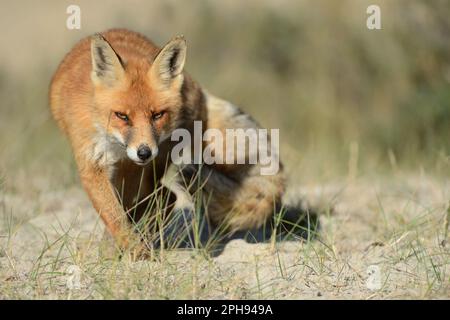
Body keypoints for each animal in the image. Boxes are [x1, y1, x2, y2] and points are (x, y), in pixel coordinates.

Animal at [50, 28, 288, 256]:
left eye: (157, 115)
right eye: (122, 116)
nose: (144, 152)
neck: (115, 145)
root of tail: (196, 88)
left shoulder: (132, 165)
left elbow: (123, 211)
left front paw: (131, 250)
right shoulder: (92, 162)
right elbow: (114, 214)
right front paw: (126, 247)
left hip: (157, 163)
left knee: (167, 197)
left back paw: (144, 236)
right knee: (161, 197)